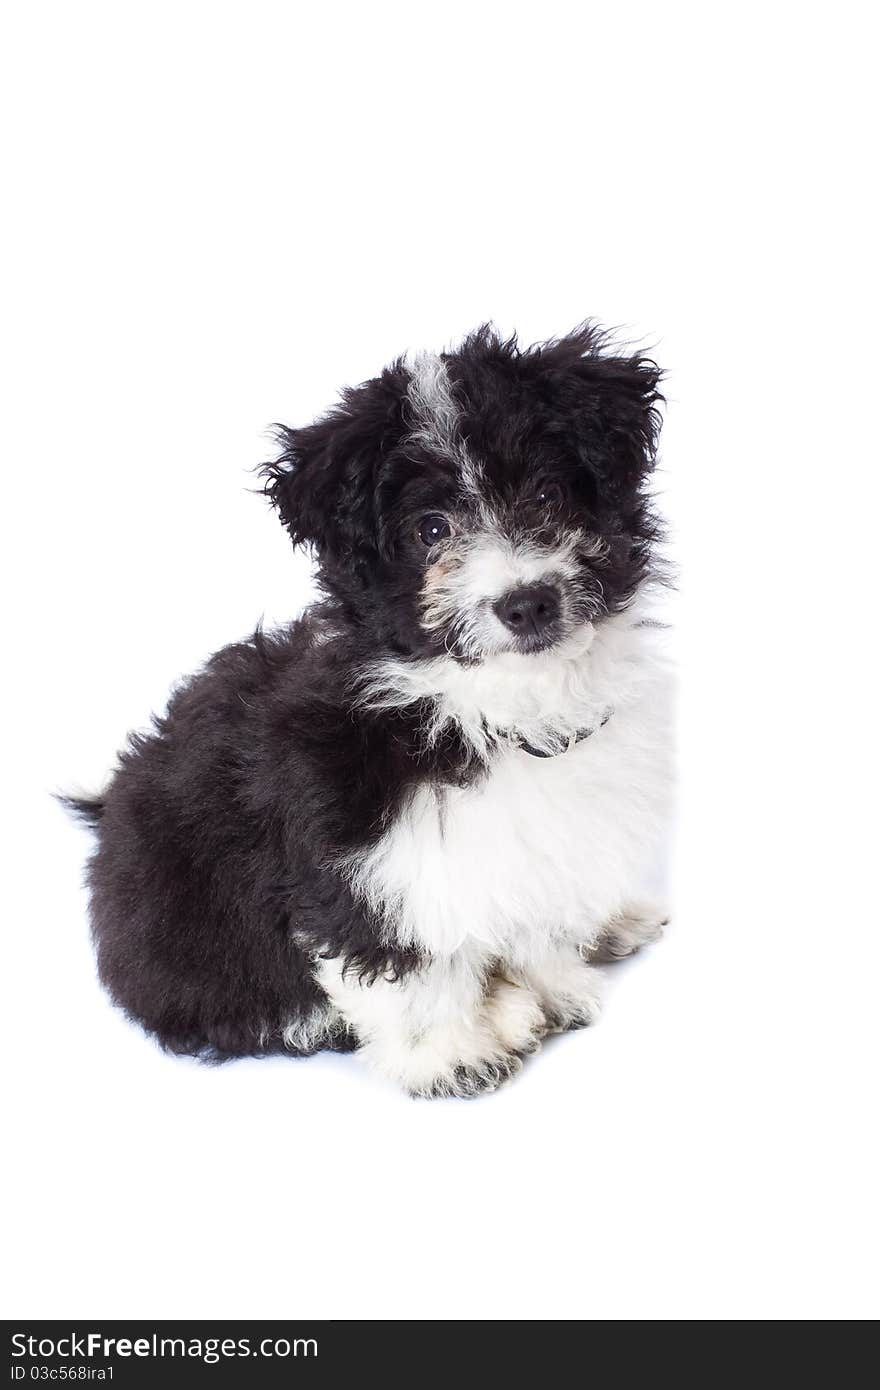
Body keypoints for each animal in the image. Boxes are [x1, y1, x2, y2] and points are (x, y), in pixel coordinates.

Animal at [67, 322, 672, 1095]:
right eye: (432, 530)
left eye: (546, 494)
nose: (527, 602)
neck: (483, 705)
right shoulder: (364, 855)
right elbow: (405, 957)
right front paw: (450, 1053)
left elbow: (527, 908)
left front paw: (551, 984)